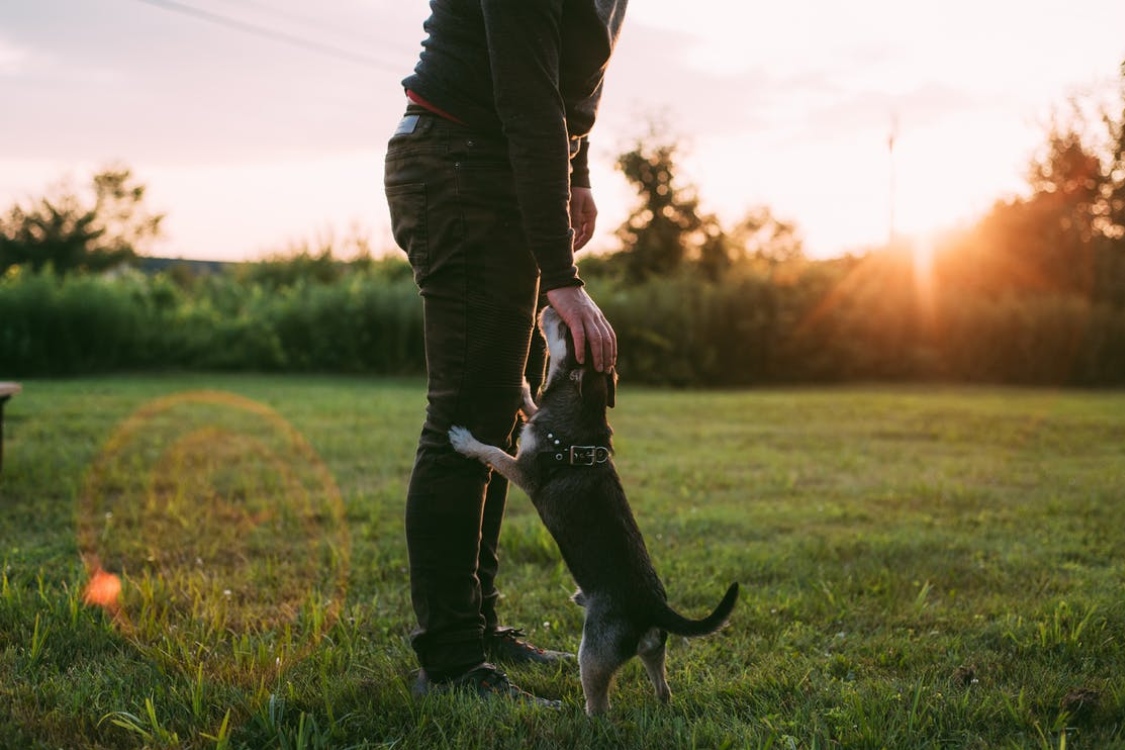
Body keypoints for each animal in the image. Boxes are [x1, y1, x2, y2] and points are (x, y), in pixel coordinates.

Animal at [447, 305, 738, 715]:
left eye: (566, 330)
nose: (548, 306)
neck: (581, 407)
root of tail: (652, 606)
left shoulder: (524, 471)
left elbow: (493, 452)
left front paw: (466, 440)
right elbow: (530, 405)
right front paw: (523, 384)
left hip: (594, 654)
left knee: (600, 705)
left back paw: (583, 717)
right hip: (654, 649)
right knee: (662, 683)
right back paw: (661, 701)